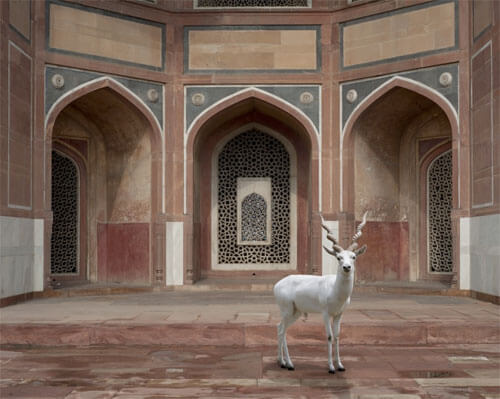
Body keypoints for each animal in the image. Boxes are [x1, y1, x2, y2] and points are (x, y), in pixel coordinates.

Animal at [274, 212, 368, 376]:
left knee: (280, 328)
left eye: (353, 256)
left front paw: (340, 365)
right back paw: (289, 364)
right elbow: (329, 336)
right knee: (282, 331)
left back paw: (282, 362)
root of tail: (277, 284)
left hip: (296, 313)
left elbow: (337, 336)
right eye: (339, 257)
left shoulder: (339, 314)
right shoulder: (325, 313)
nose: (347, 267)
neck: (335, 290)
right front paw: (331, 367)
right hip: (287, 311)